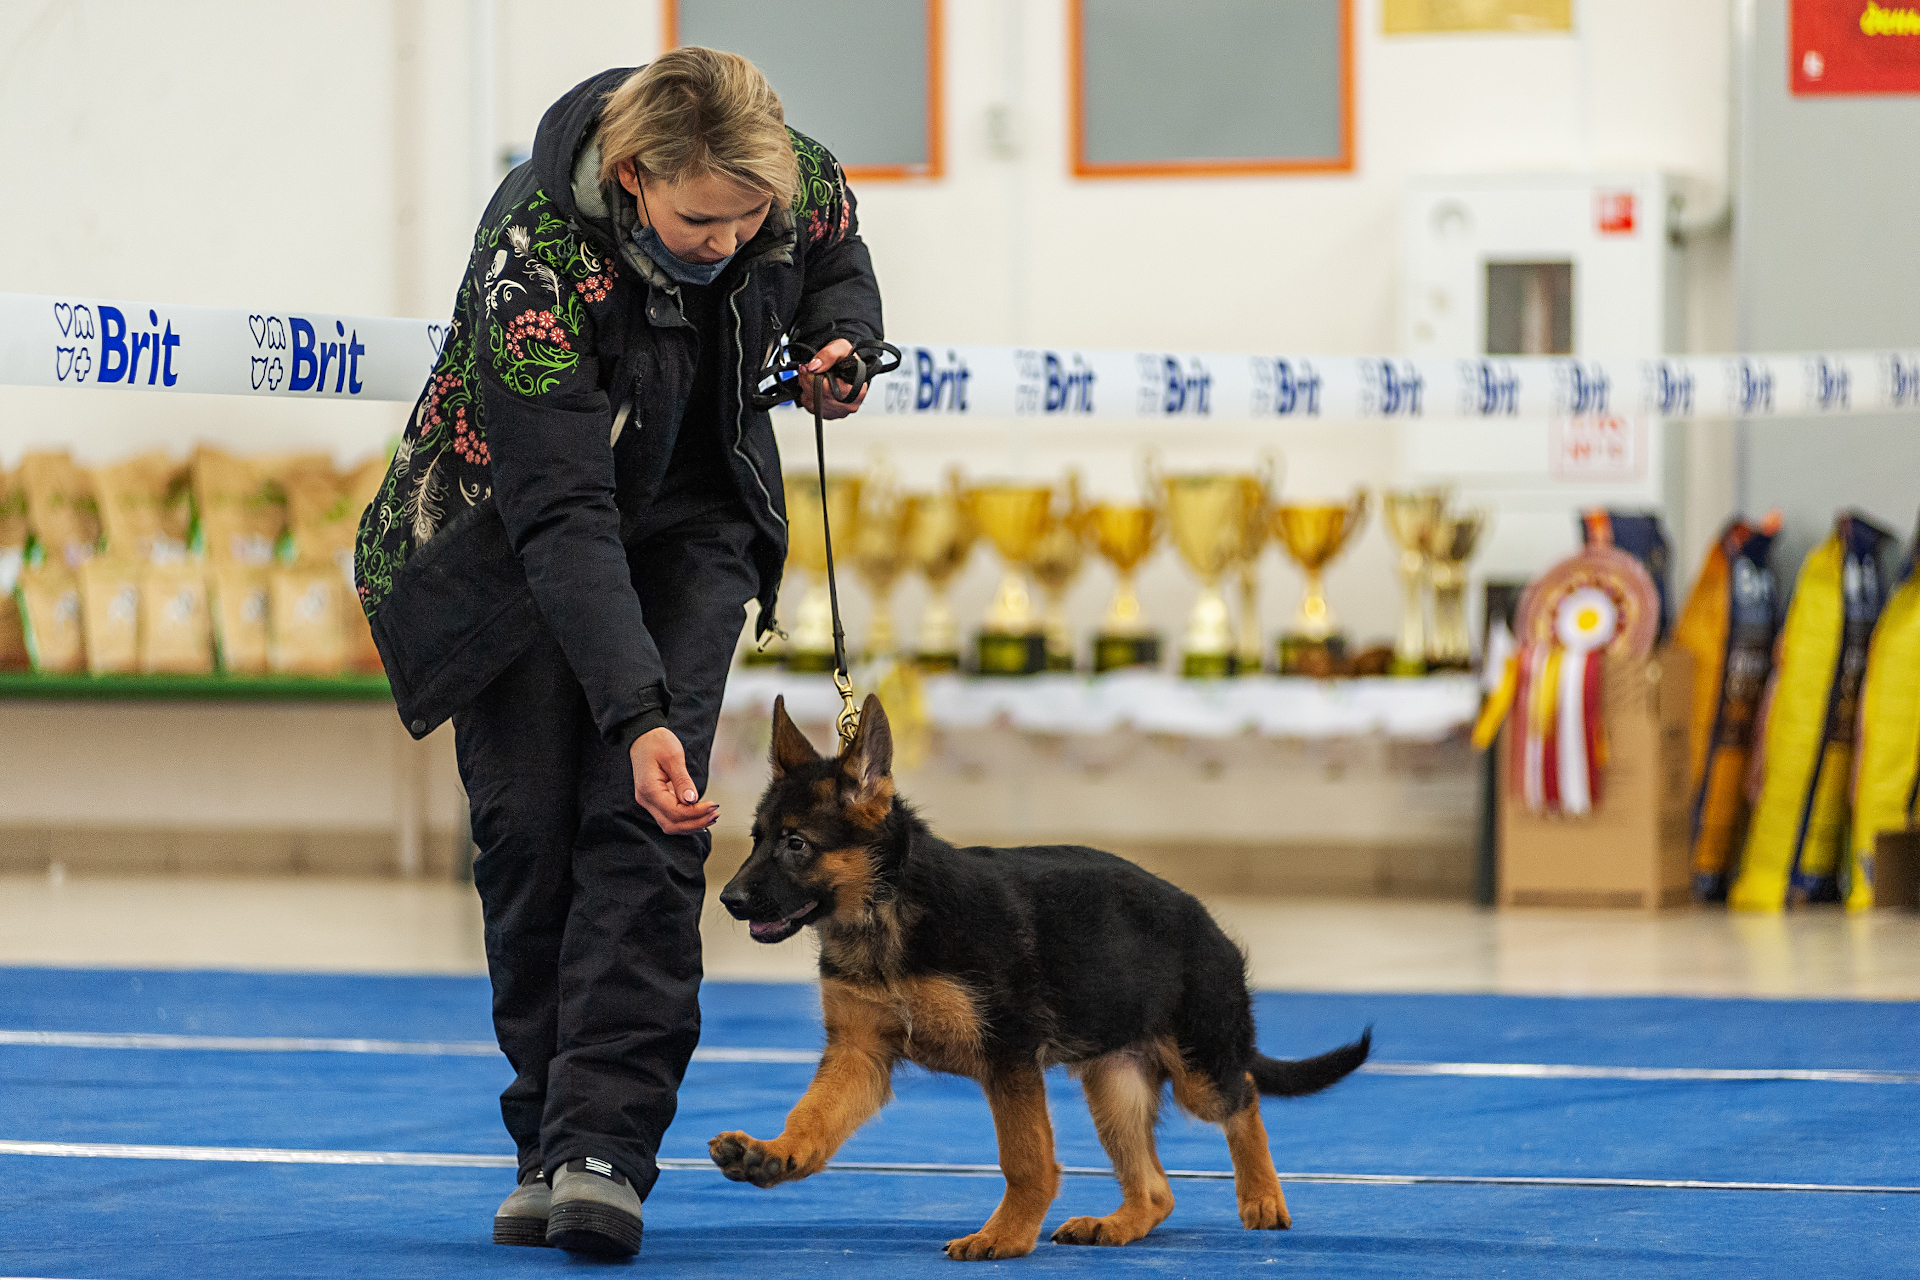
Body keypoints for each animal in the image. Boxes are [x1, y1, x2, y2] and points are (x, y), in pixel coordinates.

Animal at [714, 694, 1374, 1258]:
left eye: (796, 844)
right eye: (756, 840)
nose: (727, 900)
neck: (887, 909)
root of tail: (1210, 927)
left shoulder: (1008, 1059)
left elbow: (1025, 1160)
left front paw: (1005, 1236)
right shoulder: (859, 1055)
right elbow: (813, 1115)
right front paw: (776, 1155)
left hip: (1196, 1070)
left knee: (1244, 1095)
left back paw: (1262, 1196)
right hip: (1114, 1081)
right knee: (1158, 1190)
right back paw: (1118, 1224)